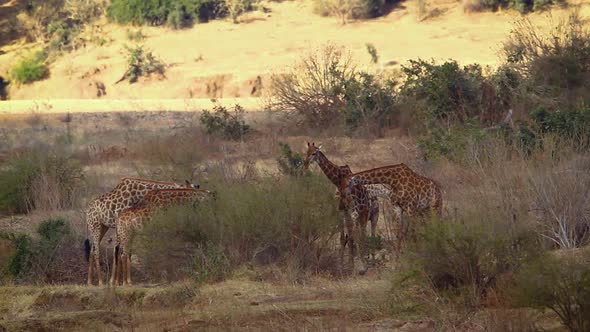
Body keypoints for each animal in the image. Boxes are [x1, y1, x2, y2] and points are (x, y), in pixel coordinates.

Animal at [302, 141, 382, 274]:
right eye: (306, 152)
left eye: (314, 153)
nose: (305, 165)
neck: (338, 180)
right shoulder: (342, 211)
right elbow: (344, 238)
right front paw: (344, 266)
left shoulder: (353, 211)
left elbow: (353, 237)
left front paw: (359, 266)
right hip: (362, 216)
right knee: (361, 234)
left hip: (370, 215)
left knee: (368, 234)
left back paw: (370, 261)